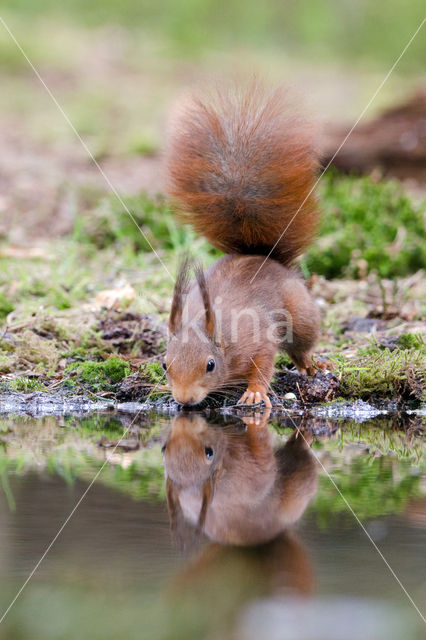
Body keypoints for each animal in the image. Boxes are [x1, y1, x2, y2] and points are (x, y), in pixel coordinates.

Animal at [163, 82, 320, 408]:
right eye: (164, 365)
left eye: (210, 365)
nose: (184, 400)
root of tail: (262, 256)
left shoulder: (258, 340)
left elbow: (264, 363)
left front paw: (255, 391)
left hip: (301, 316)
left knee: (302, 345)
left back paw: (311, 363)